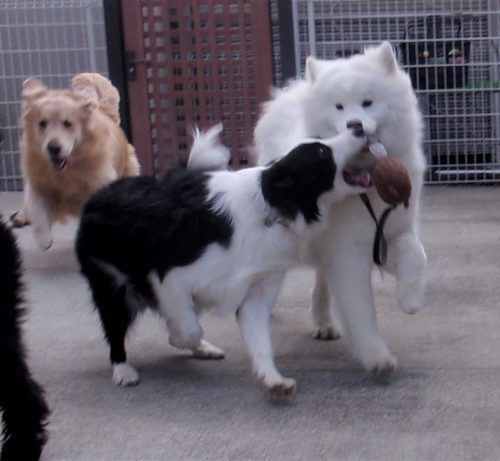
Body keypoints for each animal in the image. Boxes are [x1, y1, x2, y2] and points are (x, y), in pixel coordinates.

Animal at [11, 73, 140, 250]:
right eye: (42, 123)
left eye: (68, 124)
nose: (53, 148)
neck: (69, 170)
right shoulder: (39, 182)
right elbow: (37, 210)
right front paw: (44, 239)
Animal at [75, 126, 376, 396]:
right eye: (322, 153)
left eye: (322, 140)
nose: (359, 128)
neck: (271, 205)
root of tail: (98, 195)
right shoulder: (169, 277)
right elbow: (189, 326)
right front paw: (177, 337)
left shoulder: (257, 288)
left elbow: (259, 340)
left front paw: (273, 379)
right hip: (112, 285)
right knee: (116, 329)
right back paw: (123, 370)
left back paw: (202, 350)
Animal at [254, 41, 428, 378]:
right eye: (339, 107)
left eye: (368, 102)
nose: (355, 125)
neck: (367, 183)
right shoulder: (349, 252)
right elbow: (361, 308)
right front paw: (377, 358)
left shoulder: (390, 232)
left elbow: (416, 253)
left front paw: (410, 298)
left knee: (322, 282)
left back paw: (323, 322)